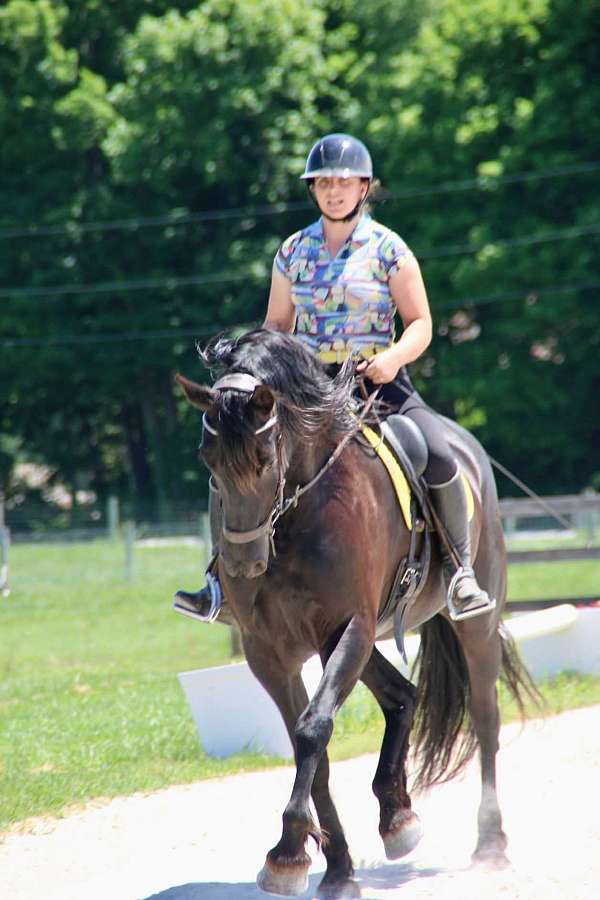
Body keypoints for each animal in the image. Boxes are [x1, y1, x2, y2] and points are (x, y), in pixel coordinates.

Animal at [175, 327, 537, 900]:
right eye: (207, 458)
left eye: (265, 455)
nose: (242, 562)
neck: (299, 514)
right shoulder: (269, 651)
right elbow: (310, 749)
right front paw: (333, 868)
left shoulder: (350, 626)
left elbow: (313, 729)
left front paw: (286, 853)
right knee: (402, 695)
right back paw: (397, 816)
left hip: (470, 624)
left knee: (484, 717)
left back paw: (490, 844)